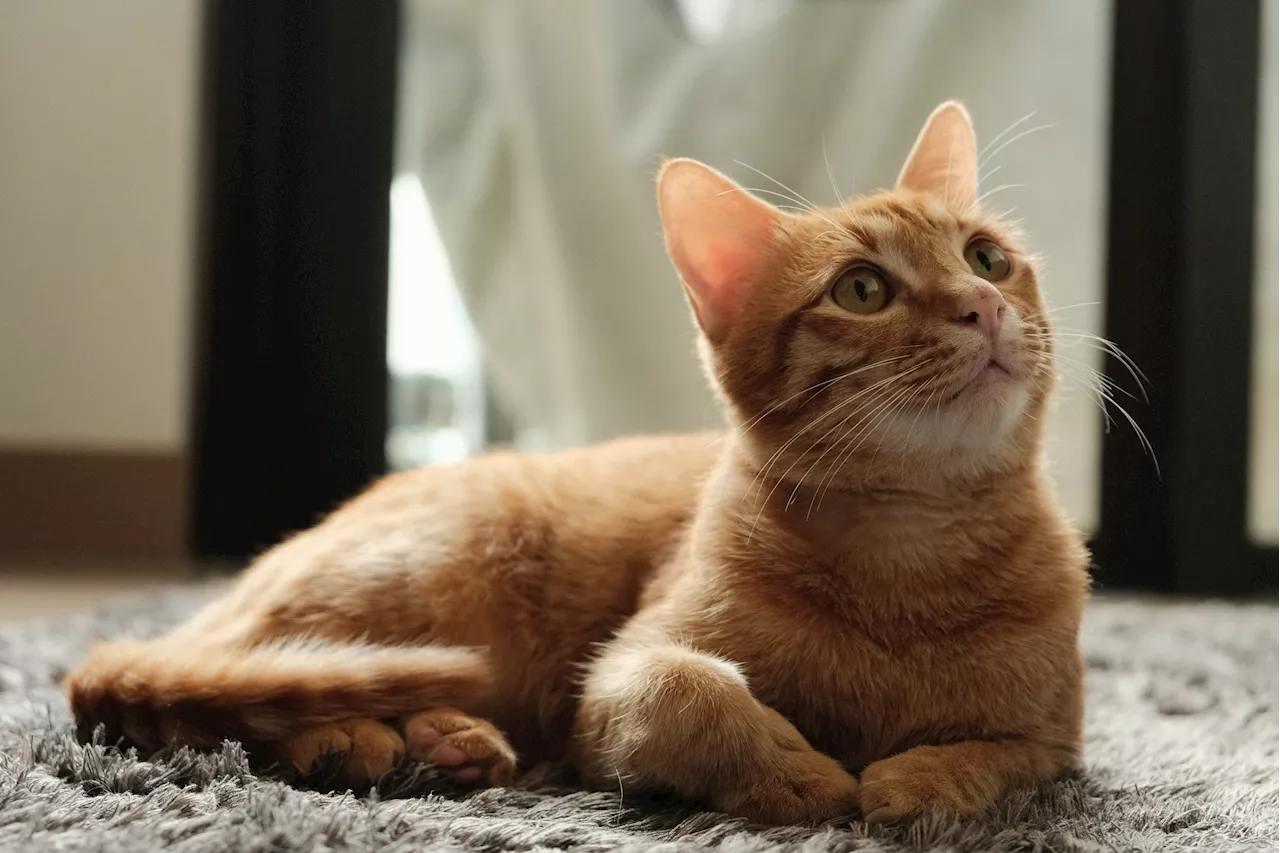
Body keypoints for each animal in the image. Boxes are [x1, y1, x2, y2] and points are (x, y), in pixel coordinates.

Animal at [67, 101, 1090, 824]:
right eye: (864, 289)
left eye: (986, 257)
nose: (981, 307)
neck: (907, 555)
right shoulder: (611, 686)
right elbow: (690, 692)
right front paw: (801, 773)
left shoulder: (1061, 733)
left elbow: (1005, 754)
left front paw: (925, 778)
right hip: (428, 575)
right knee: (252, 681)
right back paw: (354, 736)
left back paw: (448, 740)